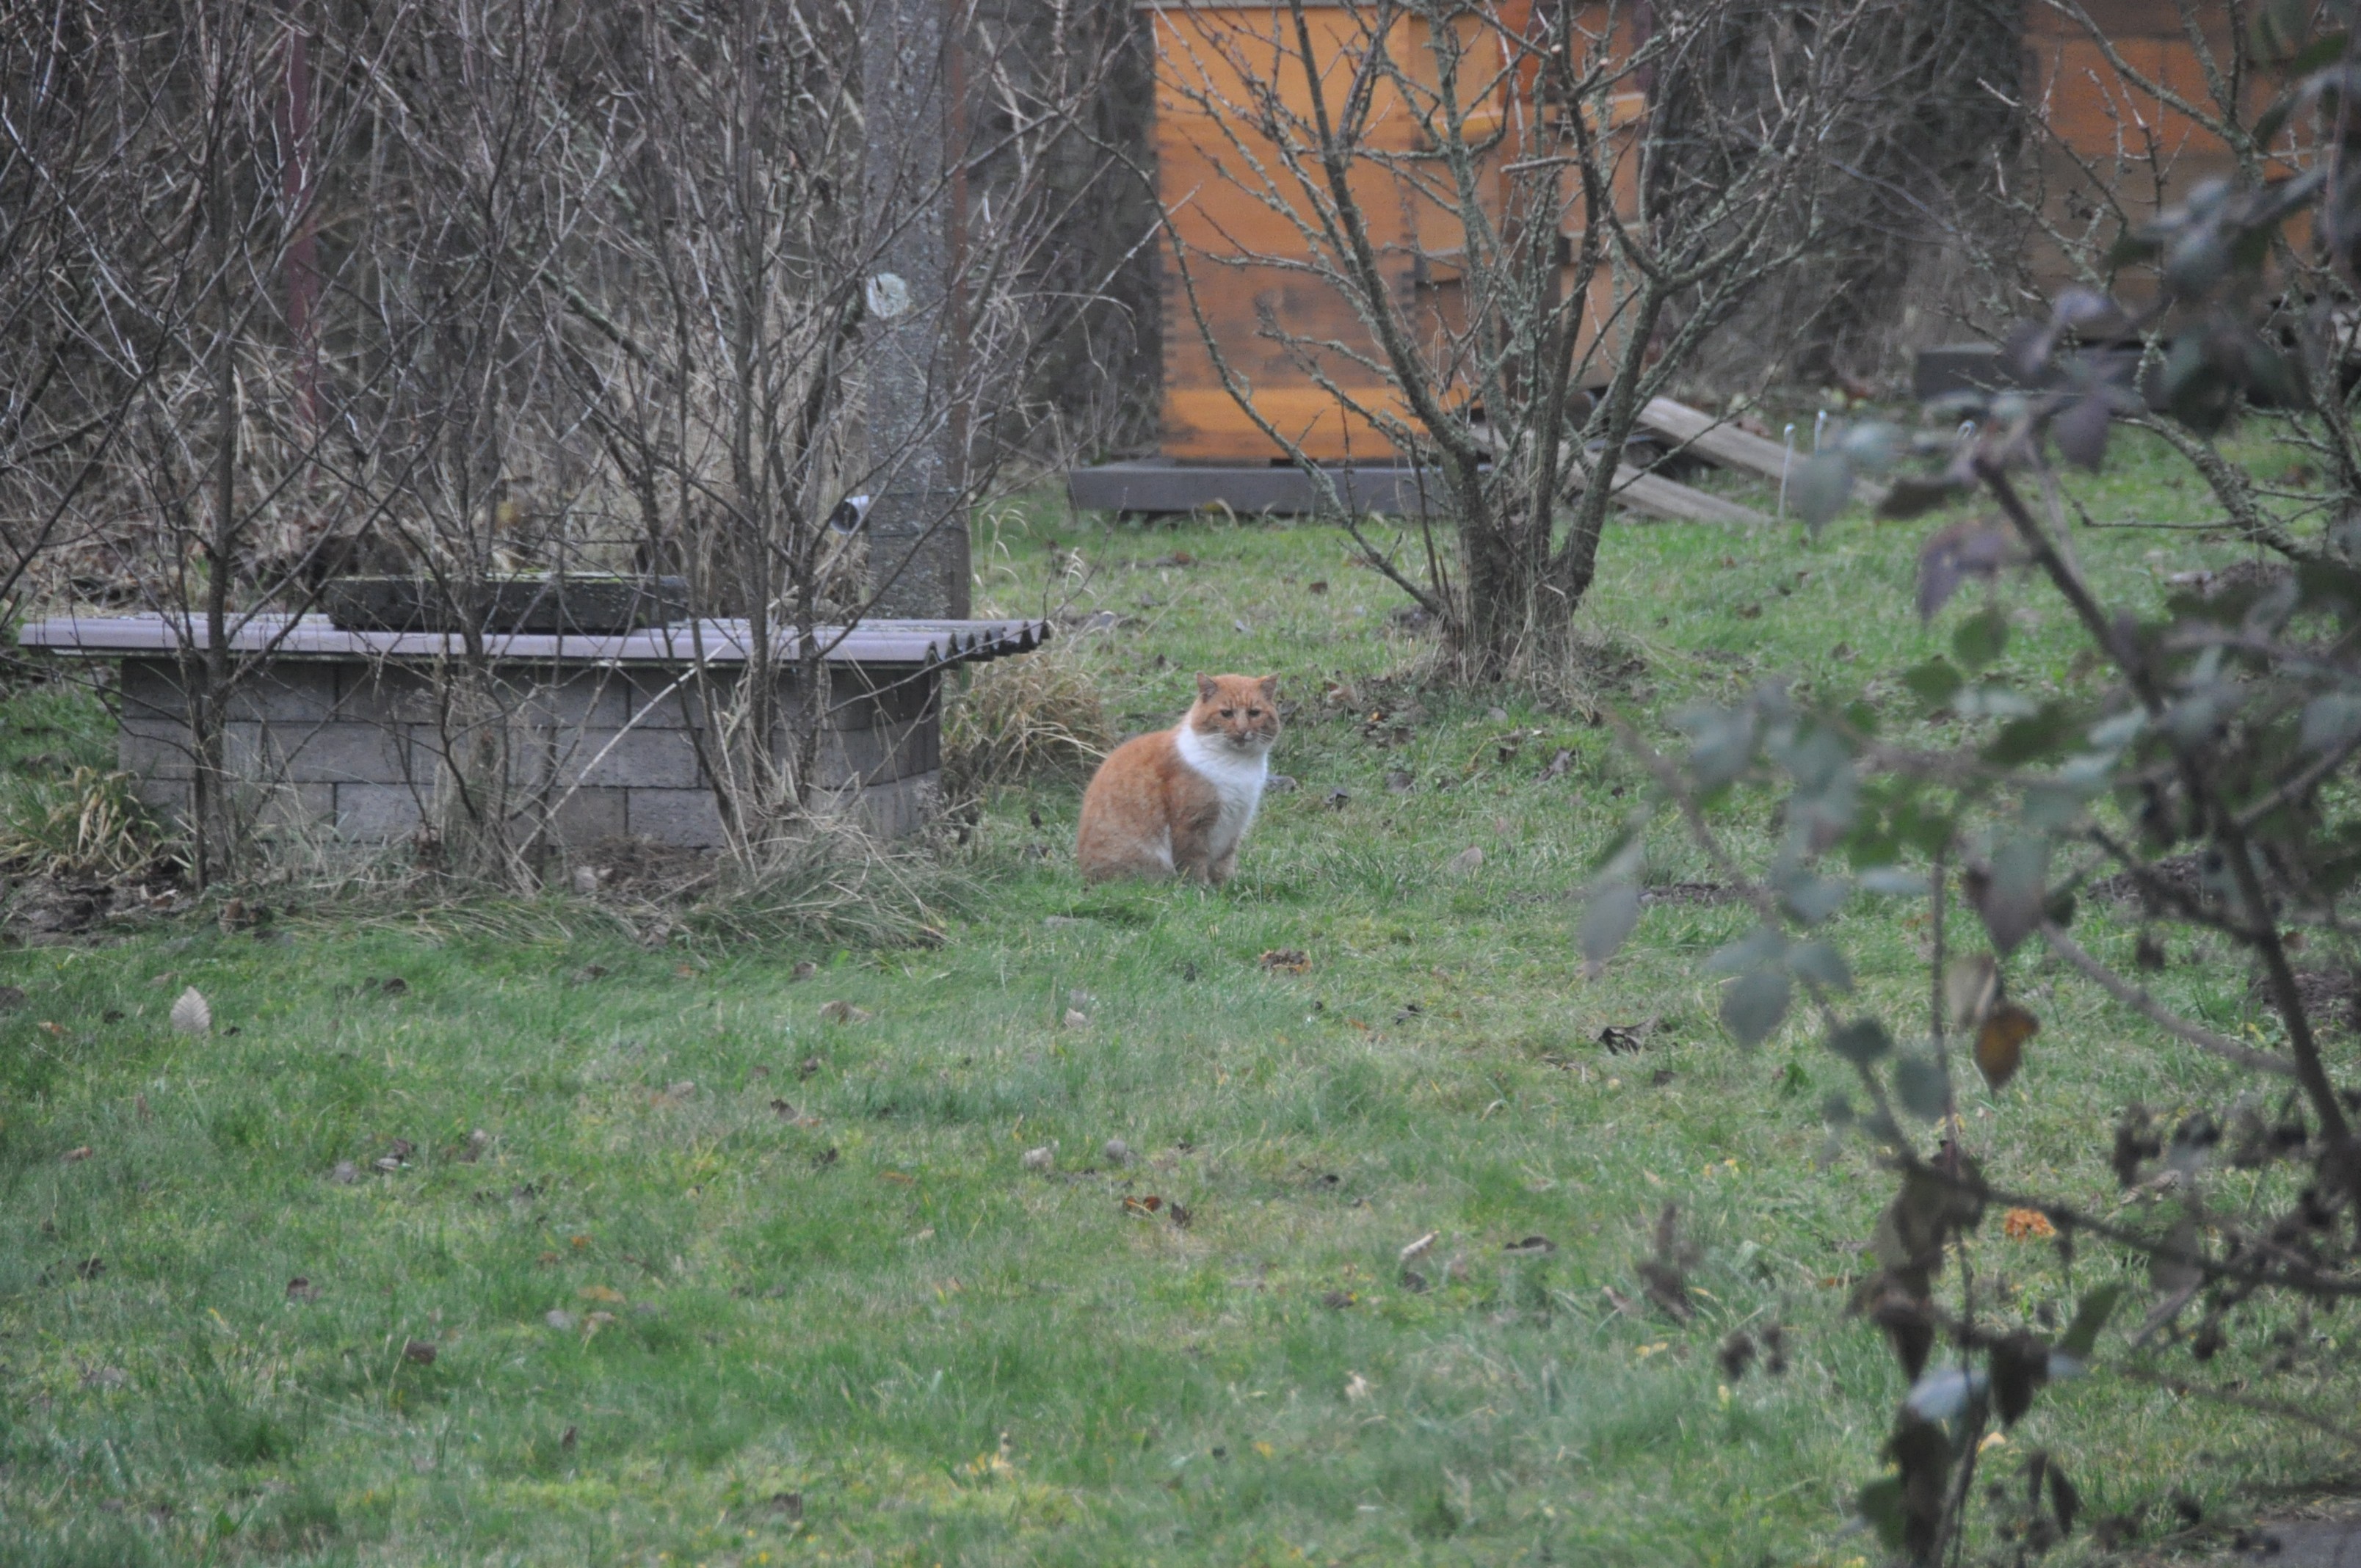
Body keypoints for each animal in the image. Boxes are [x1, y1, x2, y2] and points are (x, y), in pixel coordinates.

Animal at [1076, 673, 1279, 884]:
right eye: (1226, 713)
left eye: (1254, 713)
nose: (1242, 730)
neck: (1238, 764)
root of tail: (1086, 876)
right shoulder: (1192, 823)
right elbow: (1194, 860)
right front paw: (1202, 887)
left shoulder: (1235, 824)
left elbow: (1225, 862)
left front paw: (1226, 885)